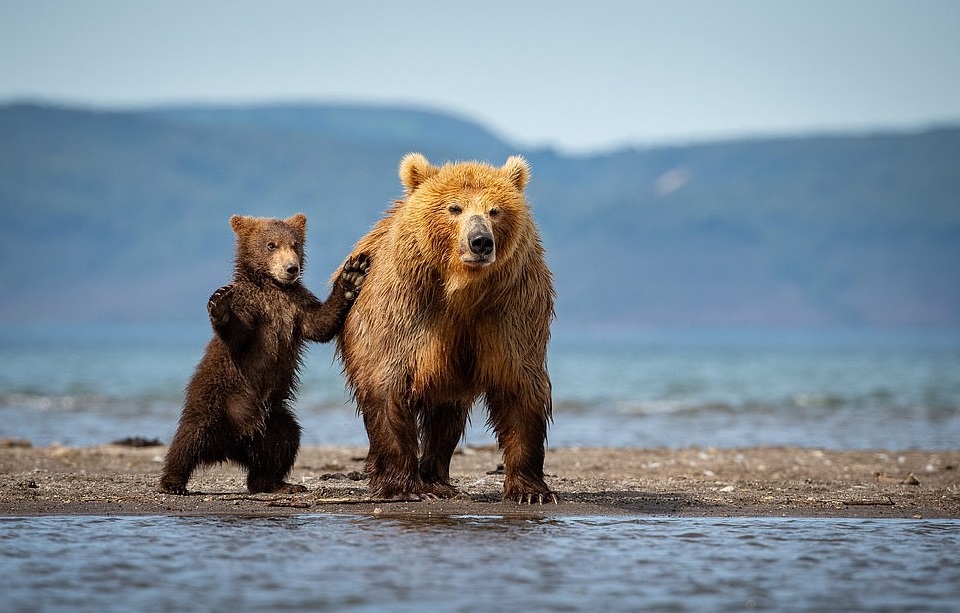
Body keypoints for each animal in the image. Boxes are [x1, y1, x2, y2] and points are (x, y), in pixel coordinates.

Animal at [336, 153, 556, 502]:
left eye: (495, 210)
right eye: (454, 208)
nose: (480, 242)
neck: (462, 289)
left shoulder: (510, 307)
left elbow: (519, 384)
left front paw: (530, 490)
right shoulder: (407, 305)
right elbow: (387, 382)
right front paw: (403, 487)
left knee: (445, 415)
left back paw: (436, 479)